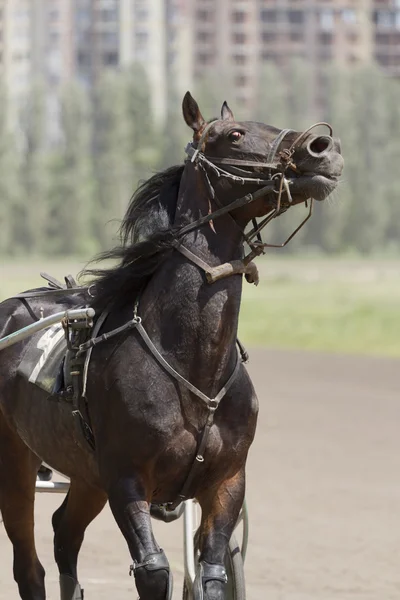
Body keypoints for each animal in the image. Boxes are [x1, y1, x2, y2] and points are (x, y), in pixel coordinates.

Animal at [0, 95, 344, 600]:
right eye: (233, 135)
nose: (324, 147)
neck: (192, 362)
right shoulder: (126, 478)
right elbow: (153, 570)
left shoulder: (227, 480)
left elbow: (214, 571)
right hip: (17, 460)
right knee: (29, 565)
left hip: (85, 474)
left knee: (65, 531)